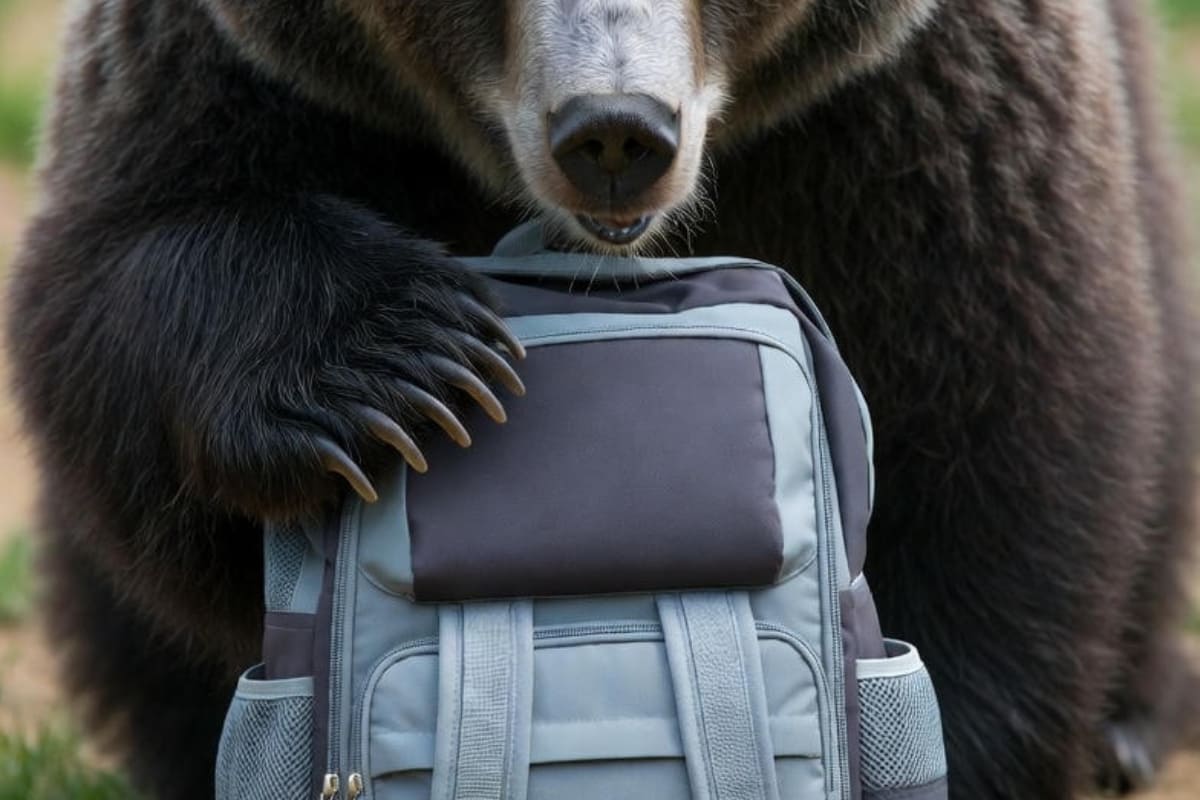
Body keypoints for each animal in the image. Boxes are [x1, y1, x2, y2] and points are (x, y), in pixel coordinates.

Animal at [4, 0, 1196, 798]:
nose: (615, 130)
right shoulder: (241, 86)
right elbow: (117, 272)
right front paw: (404, 366)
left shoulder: (913, 134)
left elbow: (991, 465)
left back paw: (1131, 726)